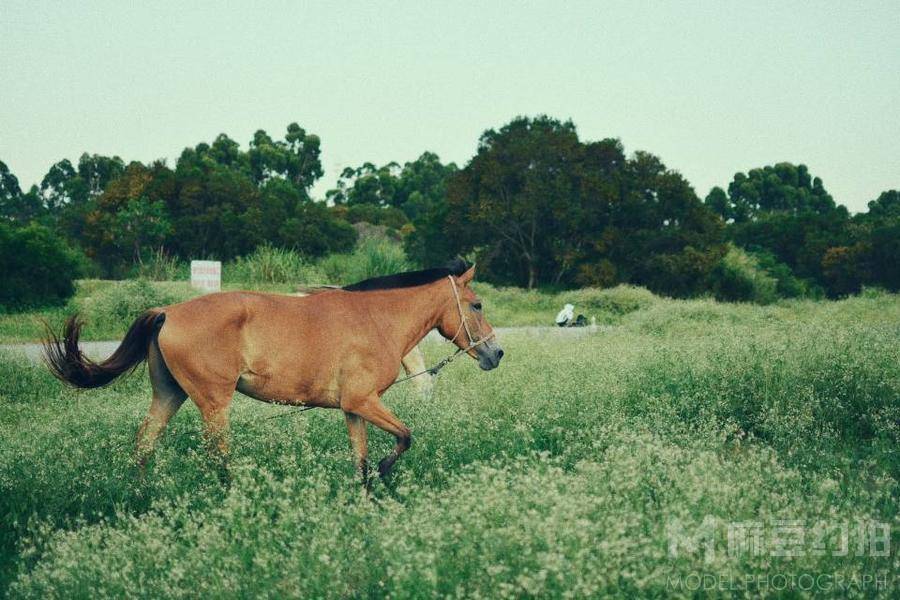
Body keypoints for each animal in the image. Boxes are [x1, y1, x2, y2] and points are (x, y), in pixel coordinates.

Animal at [45, 262, 502, 482]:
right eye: (477, 304)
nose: (495, 353)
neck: (375, 319)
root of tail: (168, 312)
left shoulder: (354, 409)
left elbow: (360, 460)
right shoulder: (364, 402)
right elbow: (405, 437)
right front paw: (384, 471)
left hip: (169, 395)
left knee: (144, 445)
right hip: (214, 404)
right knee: (218, 455)